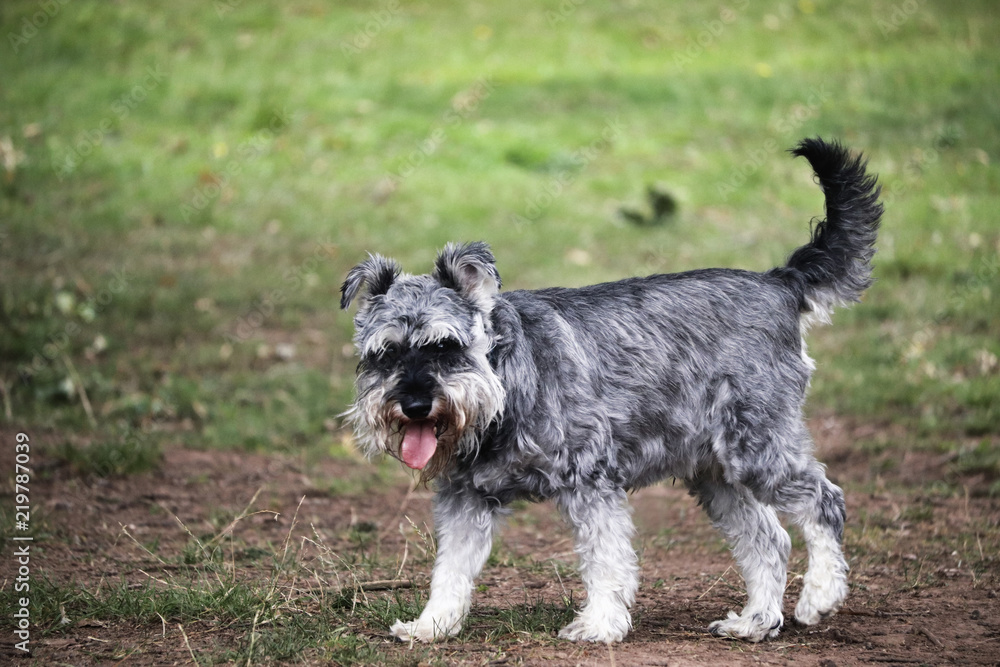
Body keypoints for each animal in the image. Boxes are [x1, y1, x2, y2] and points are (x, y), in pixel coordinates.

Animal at [340, 138, 880, 644]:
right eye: (385, 353)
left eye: (446, 345)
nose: (414, 404)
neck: (507, 383)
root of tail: (780, 283)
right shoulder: (465, 498)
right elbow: (450, 570)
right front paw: (431, 625)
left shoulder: (591, 481)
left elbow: (606, 561)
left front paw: (599, 624)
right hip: (717, 474)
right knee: (768, 540)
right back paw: (756, 622)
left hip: (758, 448)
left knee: (824, 501)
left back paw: (820, 596)